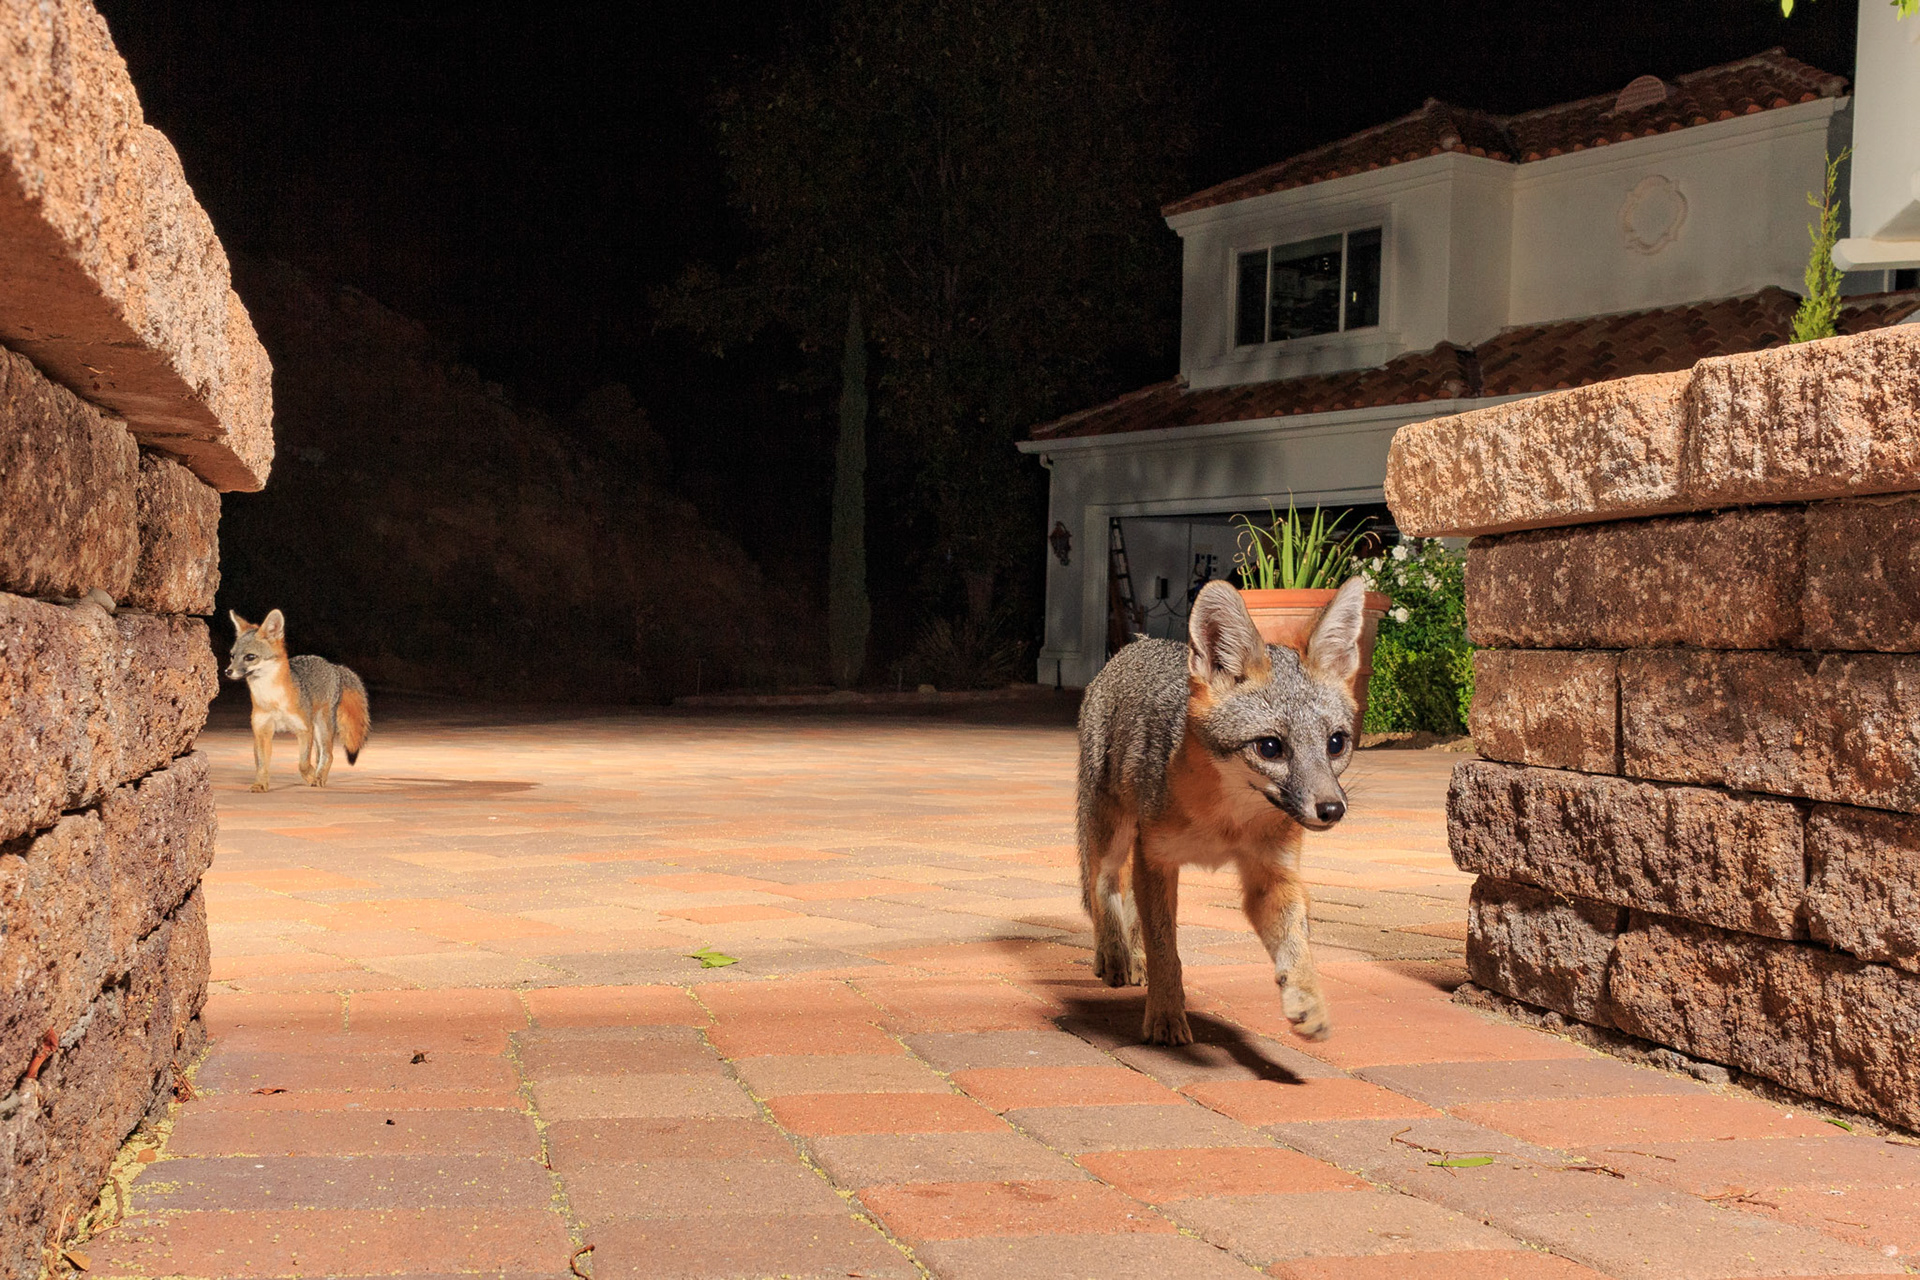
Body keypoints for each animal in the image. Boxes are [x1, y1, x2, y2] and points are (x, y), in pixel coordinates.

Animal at [225, 609, 371, 792]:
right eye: (232, 656)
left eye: (250, 657)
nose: (227, 671)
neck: (273, 699)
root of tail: (333, 666)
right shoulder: (262, 731)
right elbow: (261, 764)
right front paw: (261, 783)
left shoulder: (304, 730)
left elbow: (303, 763)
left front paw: (312, 776)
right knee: (320, 755)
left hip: (321, 726)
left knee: (328, 754)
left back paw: (320, 777)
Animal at [1077, 575, 1368, 1046]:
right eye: (1270, 747)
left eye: (1336, 743)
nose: (1331, 809)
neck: (1227, 823)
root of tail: (1139, 644)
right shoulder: (1157, 859)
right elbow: (1165, 950)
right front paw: (1166, 1015)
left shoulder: (1271, 873)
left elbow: (1297, 942)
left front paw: (1307, 998)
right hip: (1113, 835)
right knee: (1103, 888)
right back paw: (1115, 955)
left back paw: (1132, 956)